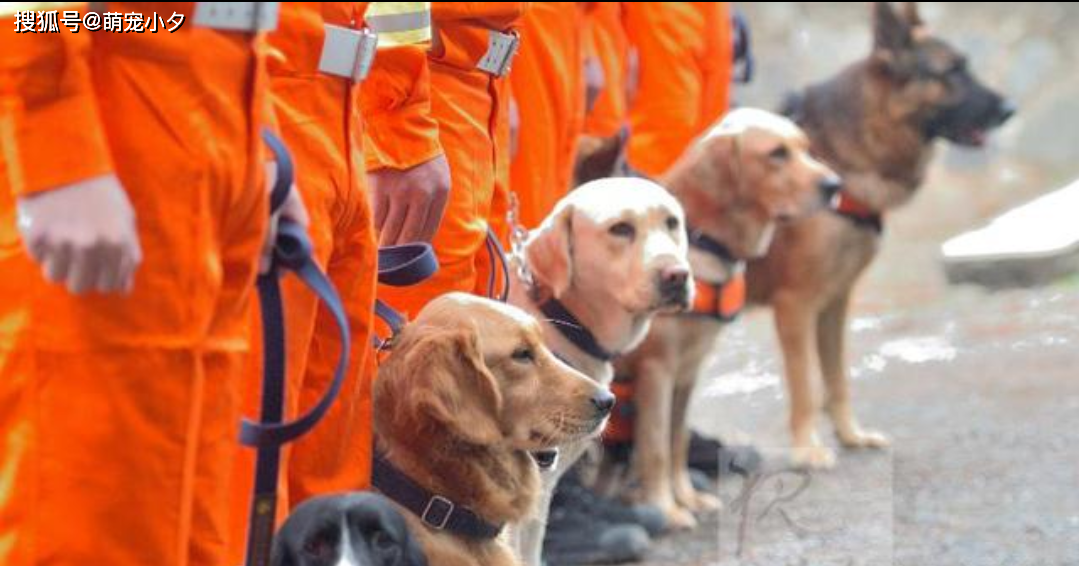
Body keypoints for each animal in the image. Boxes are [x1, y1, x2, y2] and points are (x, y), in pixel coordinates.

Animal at [612, 108, 837, 528]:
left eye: (804, 147)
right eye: (777, 154)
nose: (835, 185)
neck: (702, 240)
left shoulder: (687, 371)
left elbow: (677, 440)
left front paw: (686, 497)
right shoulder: (656, 370)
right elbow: (656, 447)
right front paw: (666, 509)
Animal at [746, 1, 1014, 467]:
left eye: (967, 66)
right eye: (952, 71)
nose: (1011, 108)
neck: (835, 155)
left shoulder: (832, 304)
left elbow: (836, 379)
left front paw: (850, 435)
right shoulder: (795, 307)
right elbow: (804, 387)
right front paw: (807, 449)